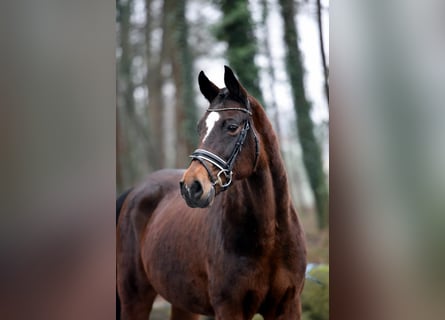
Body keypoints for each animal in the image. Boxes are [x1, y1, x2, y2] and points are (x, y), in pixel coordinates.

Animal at [116, 66, 306, 318]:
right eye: (200, 128)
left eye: (232, 127)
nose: (191, 186)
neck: (269, 236)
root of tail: (135, 191)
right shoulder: (229, 307)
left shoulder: (289, 305)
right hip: (134, 297)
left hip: (182, 302)